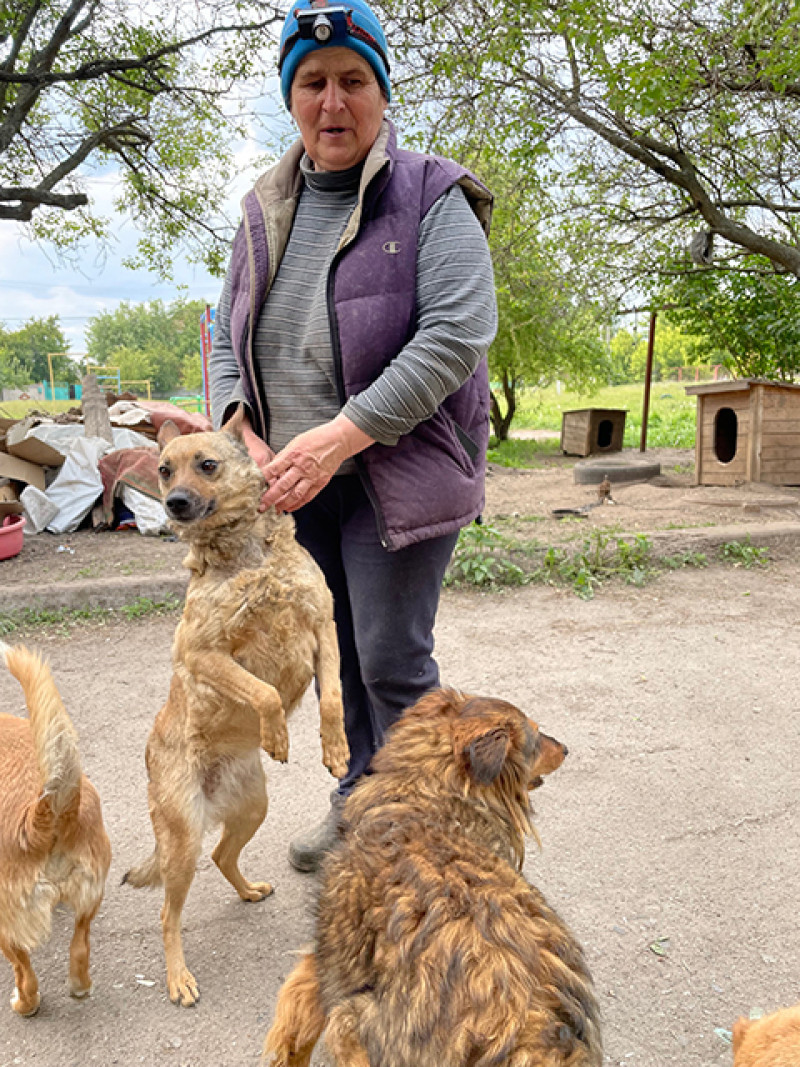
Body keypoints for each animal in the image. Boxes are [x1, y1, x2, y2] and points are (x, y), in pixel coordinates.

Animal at [0, 640, 113, 1015]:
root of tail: (45, 811)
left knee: (25, 973)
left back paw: (25, 1004)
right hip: (91, 895)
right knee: (79, 947)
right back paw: (79, 987)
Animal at [123, 407, 349, 1007]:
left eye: (207, 465)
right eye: (163, 470)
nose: (176, 504)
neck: (247, 555)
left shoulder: (324, 628)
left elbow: (335, 698)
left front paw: (336, 749)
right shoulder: (202, 654)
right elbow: (264, 690)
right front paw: (276, 734)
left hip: (252, 809)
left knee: (224, 856)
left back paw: (247, 890)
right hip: (180, 845)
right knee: (167, 915)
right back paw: (178, 978)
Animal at [266, 687, 605, 1062]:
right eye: (536, 735)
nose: (566, 748)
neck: (428, 797)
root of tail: (530, 1025)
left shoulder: (326, 963)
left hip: (352, 1020)